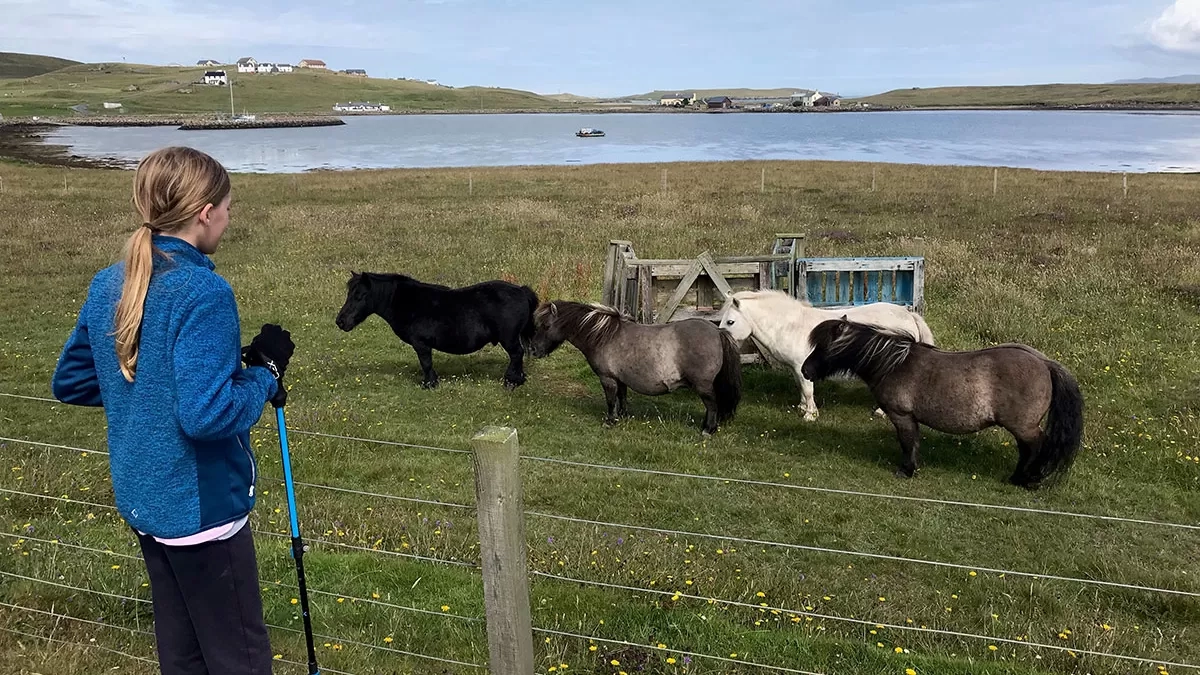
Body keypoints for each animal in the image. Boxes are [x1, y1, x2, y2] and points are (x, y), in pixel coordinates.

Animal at [340, 270, 542, 389]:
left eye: (359, 295)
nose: (340, 321)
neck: (407, 302)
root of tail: (521, 290)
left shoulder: (421, 344)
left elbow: (426, 363)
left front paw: (429, 384)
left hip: (509, 339)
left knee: (516, 354)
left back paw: (512, 381)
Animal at [710, 289, 936, 420]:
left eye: (730, 322)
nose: (718, 342)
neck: (791, 326)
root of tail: (908, 314)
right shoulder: (796, 369)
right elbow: (801, 388)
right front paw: (802, 408)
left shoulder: (802, 367)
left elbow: (808, 389)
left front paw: (810, 415)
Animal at [801, 317, 1084, 485]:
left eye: (824, 347)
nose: (806, 370)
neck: (895, 364)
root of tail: (1044, 362)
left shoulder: (902, 416)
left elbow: (908, 443)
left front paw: (906, 470)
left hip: (1023, 426)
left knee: (1035, 447)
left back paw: (1026, 479)